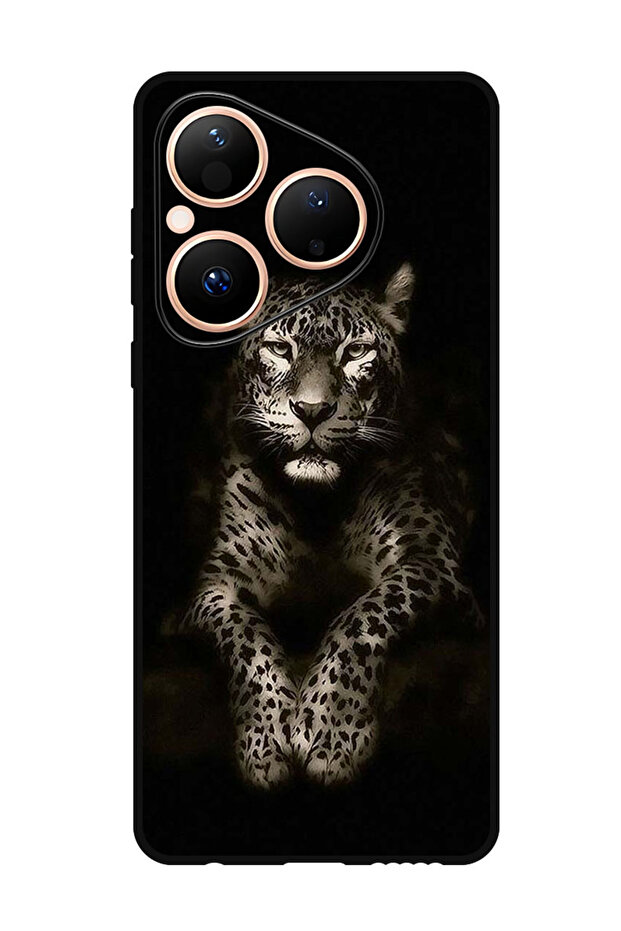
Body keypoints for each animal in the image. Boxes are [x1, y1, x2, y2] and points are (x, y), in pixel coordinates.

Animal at [178, 262, 484, 788]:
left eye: (355, 351)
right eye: (281, 349)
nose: (313, 410)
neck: (316, 507)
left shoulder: (432, 562)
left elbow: (362, 615)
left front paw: (330, 729)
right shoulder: (215, 585)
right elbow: (245, 636)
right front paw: (265, 739)